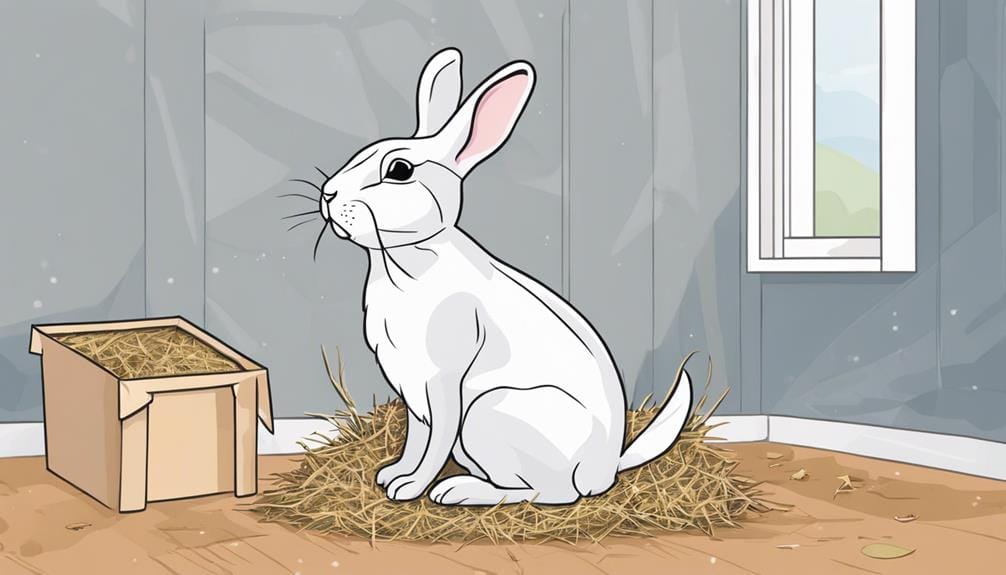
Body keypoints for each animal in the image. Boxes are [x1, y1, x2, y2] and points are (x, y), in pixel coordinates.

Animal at [314, 47, 693, 505]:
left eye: (400, 170)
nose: (329, 194)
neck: (405, 261)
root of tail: (602, 472)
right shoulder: (413, 391)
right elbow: (416, 440)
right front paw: (393, 475)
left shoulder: (443, 381)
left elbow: (435, 441)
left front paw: (410, 489)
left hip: (489, 413)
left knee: (548, 493)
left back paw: (458, 491)